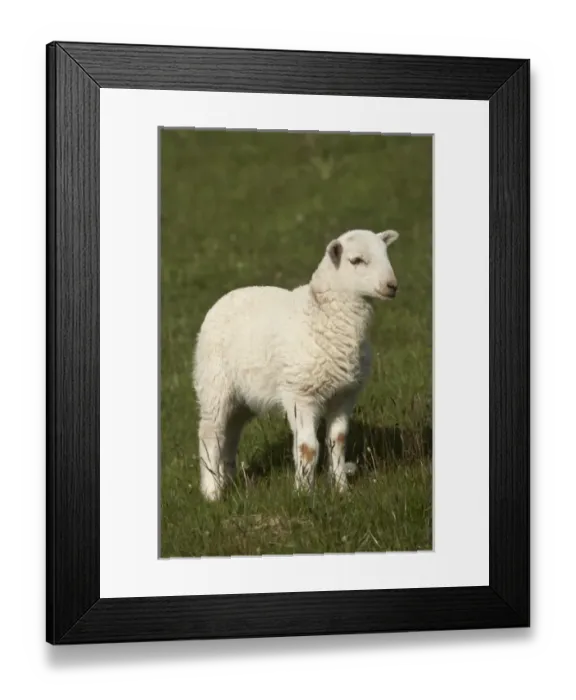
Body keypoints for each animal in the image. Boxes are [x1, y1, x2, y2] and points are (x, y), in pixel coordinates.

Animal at [192, 228, 400, 501]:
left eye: (386, 254)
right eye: (356, 260)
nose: (392, 286)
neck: (322, 316)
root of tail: (226, 296)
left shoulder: (344, 393)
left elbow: (338, 440)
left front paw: (341, 488)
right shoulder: (301, 394)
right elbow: (307, 447)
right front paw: (304, 493)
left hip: (243, 396)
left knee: (231, 432)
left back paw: (227, 479)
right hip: (214, 382)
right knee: (211, 432)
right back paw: (212, 492)